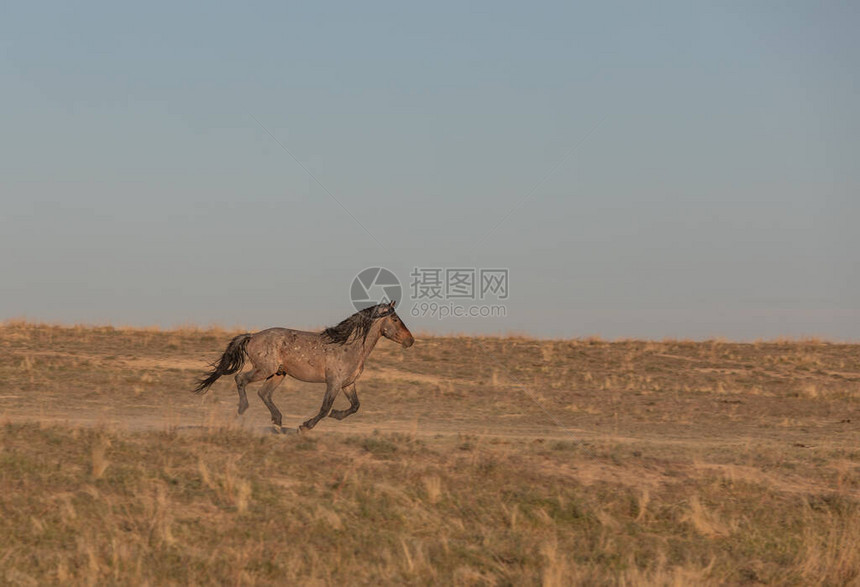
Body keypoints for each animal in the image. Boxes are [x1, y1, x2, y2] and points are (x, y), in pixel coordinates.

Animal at [192, 304, 414, 432]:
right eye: (395, 319)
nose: (410, 340)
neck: (349, 346)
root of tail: (252, 336)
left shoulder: (348, 384)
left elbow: (355, 406)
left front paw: (336, 415)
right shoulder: (334, 383)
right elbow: (324, 408)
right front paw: (305, 426)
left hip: (278, 374)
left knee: (264, 393)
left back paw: (278, 421)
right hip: (264, 370)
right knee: (240, 379)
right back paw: (243, 409)